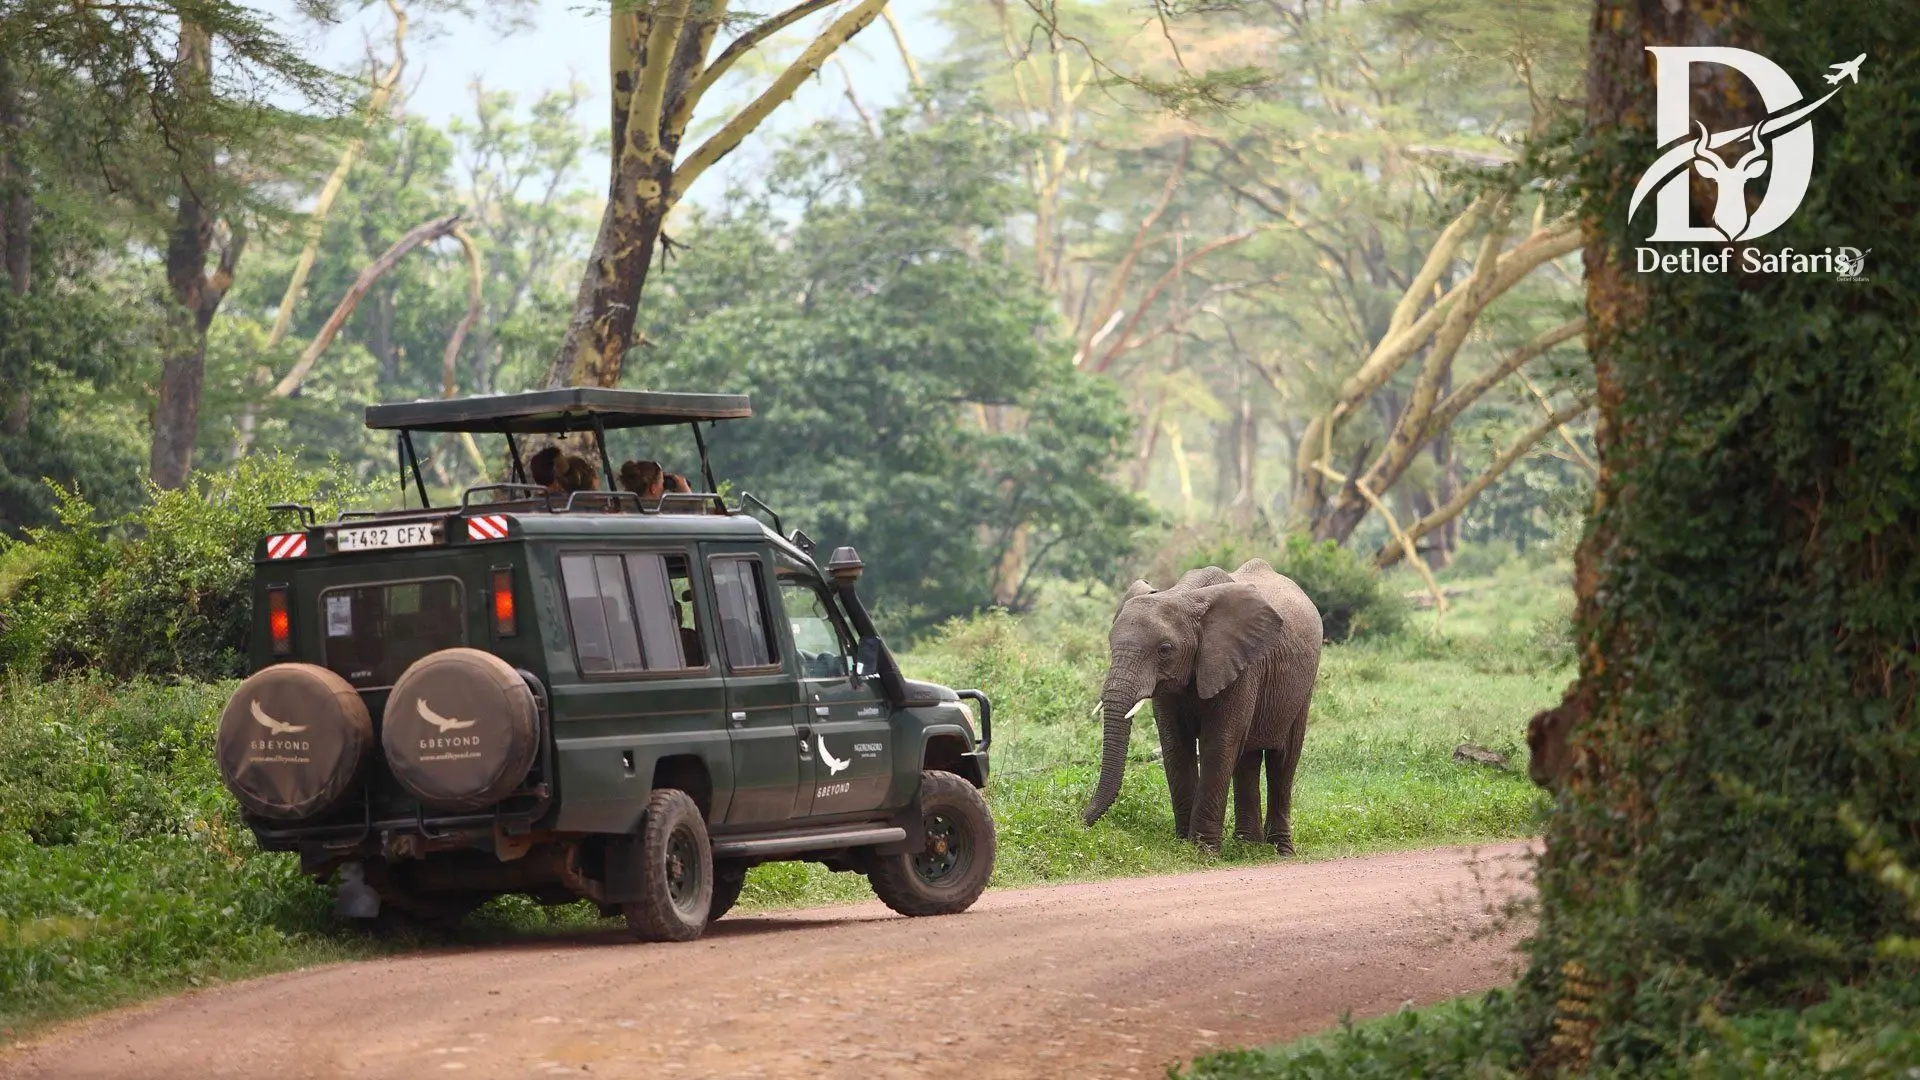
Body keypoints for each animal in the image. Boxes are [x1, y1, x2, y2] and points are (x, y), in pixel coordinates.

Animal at [1082, 558, 1323, 854]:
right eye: (1110, 643)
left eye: (1165, 649)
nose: (1078, 823)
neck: (1184, 596)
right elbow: (1175, 745)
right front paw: (1183, 844)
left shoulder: (1241, 665)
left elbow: (1218, 743)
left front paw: (1202, 852)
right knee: (1247, 759)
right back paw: (1247, 847)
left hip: (1303, 687)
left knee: (1283, 760)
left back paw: (1280, 851)